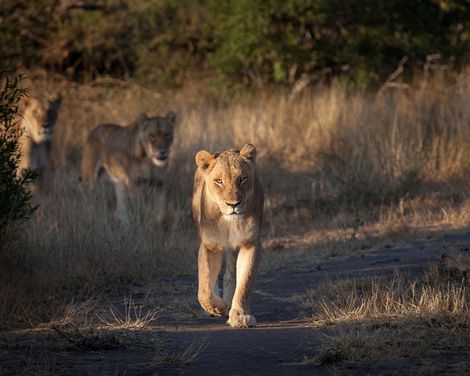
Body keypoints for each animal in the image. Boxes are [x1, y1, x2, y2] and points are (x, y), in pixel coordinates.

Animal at [192, 142, 264, 328]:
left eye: (242, 179)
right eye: (219, 181)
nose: (233, 204)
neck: (229, 222)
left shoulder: (250, 243)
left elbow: (244, 282)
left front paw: (239, 315)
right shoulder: (209, 245)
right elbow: (204, 288)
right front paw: (217, 308)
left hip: (234, 247)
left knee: (231, 272)